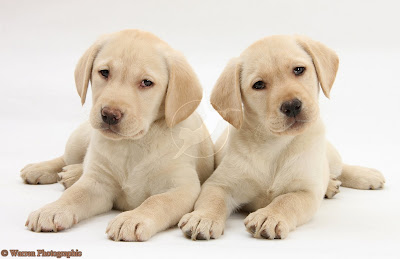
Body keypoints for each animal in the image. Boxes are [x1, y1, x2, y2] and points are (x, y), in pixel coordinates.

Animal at [20, 29, 214, 243]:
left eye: (147, 82)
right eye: (104, 72)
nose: (110, 115)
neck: (131, 144)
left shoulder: (181, 188)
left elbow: (156, 201)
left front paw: (132, 219)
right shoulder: (97, 184)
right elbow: (74, 195)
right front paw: (52, 210)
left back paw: (71, 174)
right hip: (78, 141)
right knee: (66, 159)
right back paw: (41, 169)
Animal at [178, 35, 384, 241]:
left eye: (299, 70)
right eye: (259, 85)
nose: (292, 106)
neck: (275, 144)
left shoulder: (306, 192)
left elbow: (287, 200)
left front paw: (269, 216)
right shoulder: (219, 183)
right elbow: (213, 199)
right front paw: (203, 217)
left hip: (328, 156)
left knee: (338, 168)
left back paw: (364, 176)